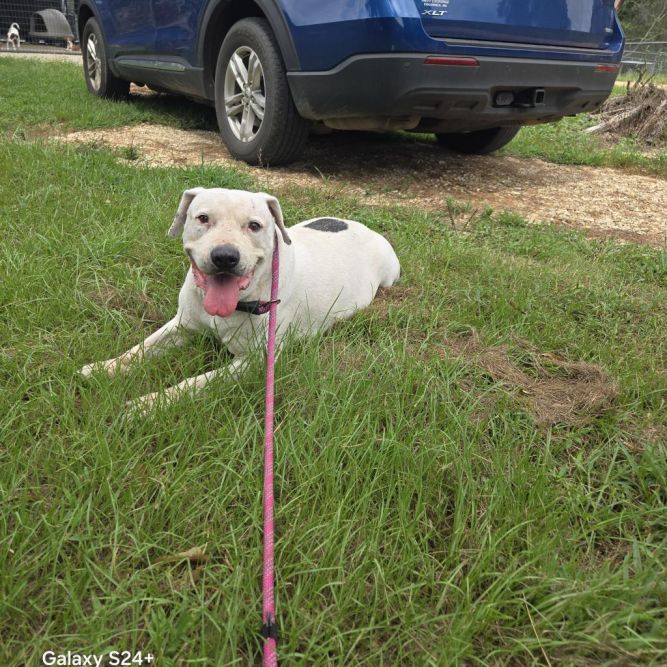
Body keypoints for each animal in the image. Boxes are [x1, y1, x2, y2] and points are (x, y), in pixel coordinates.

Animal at [80, 187, 400, 408]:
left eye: (254, 225)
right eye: (203, 218)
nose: (224, 256)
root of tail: (368, 229)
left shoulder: (253, 361)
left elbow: (194, 383)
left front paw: (149, 403)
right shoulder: (181, 325)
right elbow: (141, 348)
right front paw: (103, 368)